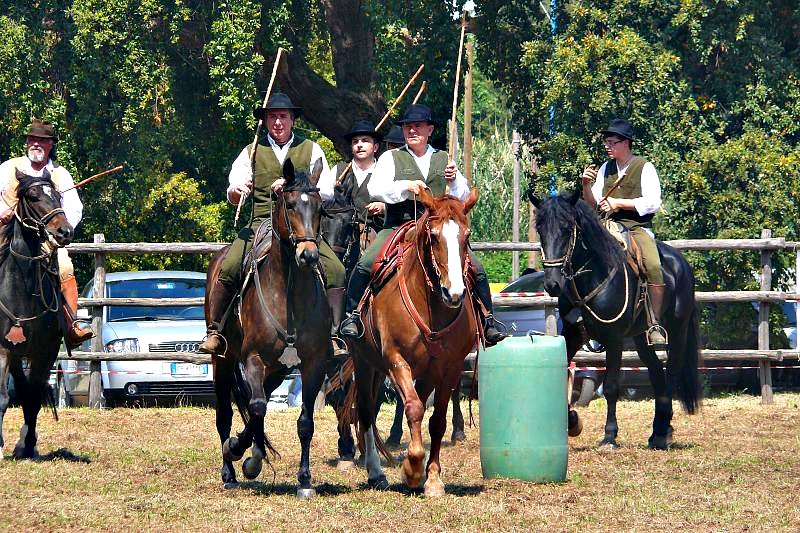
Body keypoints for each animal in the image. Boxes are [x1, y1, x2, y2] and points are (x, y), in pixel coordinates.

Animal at [0, 169, 74, 458]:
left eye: (58, 196)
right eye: (32, 196)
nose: (64, 231)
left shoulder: (45, 351)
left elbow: (31, 397)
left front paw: (28, 444)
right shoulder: (4, 350)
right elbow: (4, 397)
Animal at [208, 157, 332, 494]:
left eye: (320, 207)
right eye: (289, 205)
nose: (308, 255)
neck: (288, 295)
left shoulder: (313, 365)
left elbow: (304, 422)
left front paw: (305, 480)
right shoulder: (252, 359)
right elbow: (257, 408)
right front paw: (238, 450)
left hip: (276, 370)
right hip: (223, 360)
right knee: (226, 414)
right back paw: (229, 472)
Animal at [532, 189, 700, 446]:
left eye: (567, 228)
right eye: (540, 228)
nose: (552, 284)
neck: (593, 277)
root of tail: (680, 263)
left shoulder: (614, 339)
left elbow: (611, 386)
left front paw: (609, 435)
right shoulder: (573, 334)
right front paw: (573, 422)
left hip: (677, 330)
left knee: (671, 372)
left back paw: (663, 433)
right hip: (641, 337)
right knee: (655, 373)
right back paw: (658, 431)